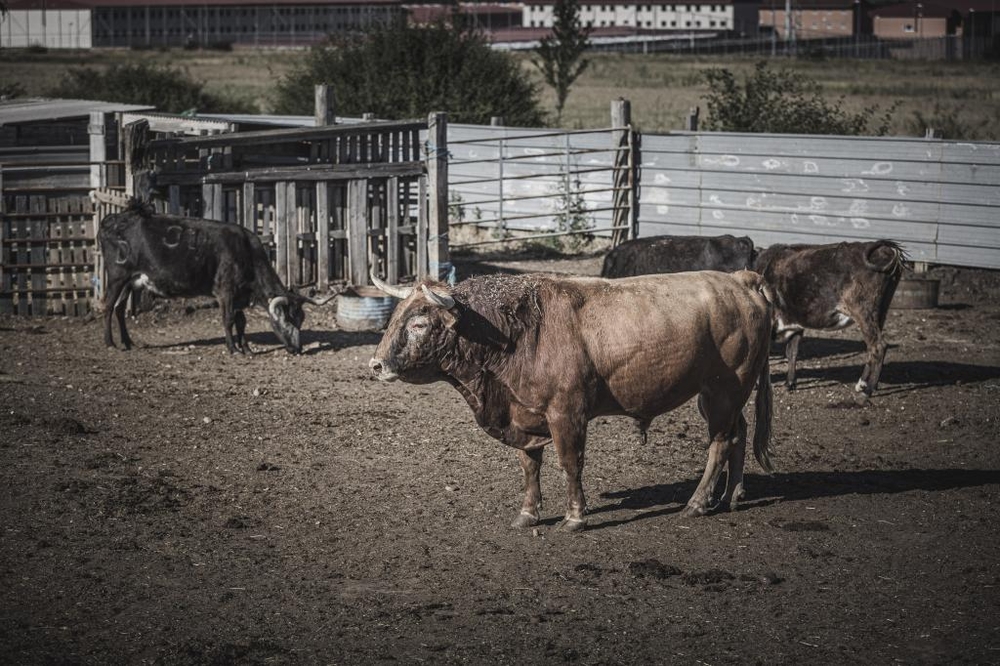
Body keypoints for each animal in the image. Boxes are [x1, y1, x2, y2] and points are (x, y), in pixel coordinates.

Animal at [97, 204, 326, 352]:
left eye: (301, 319)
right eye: (287, 319)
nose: (298, 349)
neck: (245, 252)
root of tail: (112, 219)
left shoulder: (239, 295)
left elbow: (241, 322)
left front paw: (246, 348)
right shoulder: (225, 291)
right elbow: (229, 319)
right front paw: (233, 348)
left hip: (131, 282)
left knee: (119, 309)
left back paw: (128, 343)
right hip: (117, 276)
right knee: (108, 307)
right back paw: (110, 343)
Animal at [372, 268, 776, 528]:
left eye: (419, 323)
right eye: (395, 317)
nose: (375, 365)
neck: (519, 334)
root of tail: (742, 280)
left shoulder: (567, 413)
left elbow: (570, 464)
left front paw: (575, 517)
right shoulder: (525, 414)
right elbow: (529, 465)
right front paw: (527, 514)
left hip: (725, 390)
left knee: (721, 443)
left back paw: (697, 503)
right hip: (720, 394)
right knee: (739, 433)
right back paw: (731, 496)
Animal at [752, 239, 912, 394]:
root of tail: (884, 249)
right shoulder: (794, 322)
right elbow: (792, 352)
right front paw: (790, 383)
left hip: (864, 312)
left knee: (878, 346)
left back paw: (869, 390)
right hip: (881, 312)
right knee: (871, 348)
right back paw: (862, 384)